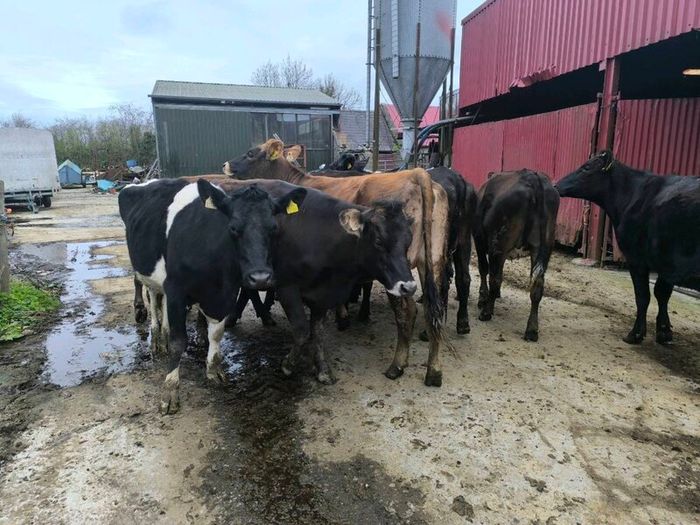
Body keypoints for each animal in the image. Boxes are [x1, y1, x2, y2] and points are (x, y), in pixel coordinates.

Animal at [119, 178, 306, 413]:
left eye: (274, 228)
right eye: (233, 228)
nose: (260, 278)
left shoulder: (226, 293)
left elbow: (216, 333)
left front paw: (213, 371)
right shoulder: (176, 289)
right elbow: (179, 342)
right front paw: (170, 390)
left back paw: (163, 334)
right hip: (146, 271)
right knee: (152, 298)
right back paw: (155, 338)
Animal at [224, 139, 452, 387]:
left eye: (250, 153)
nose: (226, 165)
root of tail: (417, 173)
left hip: (397, 274)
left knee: (407, 312)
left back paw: (397, 365)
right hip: (432, 262)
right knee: (433, 309)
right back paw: (434, 370)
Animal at [474, 169, 560, 341]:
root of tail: (533, 178)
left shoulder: (479, 240)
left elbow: (484, 269)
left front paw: (483, 298)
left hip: (500, 243)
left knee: (495, 278)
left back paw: (486, 312)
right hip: (543, 248)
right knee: (537, 285)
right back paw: (532, 330)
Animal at [555, 150, 700, 344]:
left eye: (586, 167)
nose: (557, 185)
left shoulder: (636, 258)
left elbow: (643, 296)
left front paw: (635, 334)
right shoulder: (667, 264)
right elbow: (662, 294)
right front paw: (664, 332)